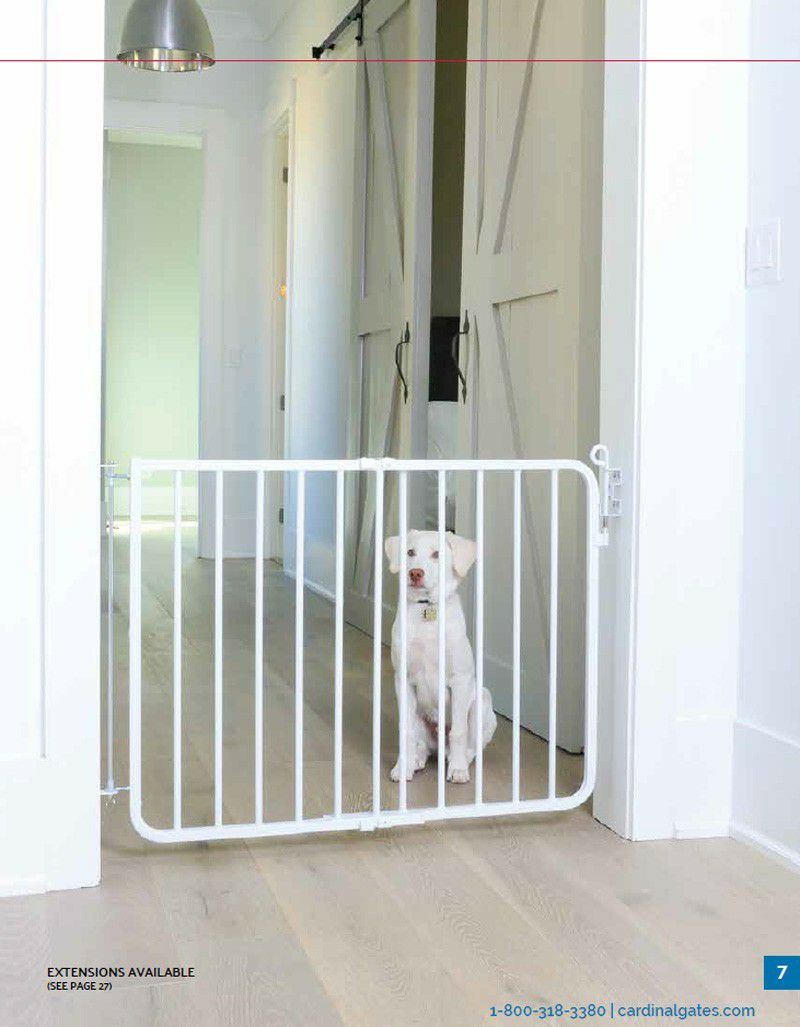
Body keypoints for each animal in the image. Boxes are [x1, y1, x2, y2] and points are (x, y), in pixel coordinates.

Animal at [384, 530, 497, 783]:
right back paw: (414, 761)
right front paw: (402, 767)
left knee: (470, 747)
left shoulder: (460, 680)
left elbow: (459, 732)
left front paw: (457, 769)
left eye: (437, 554)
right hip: (418, 715)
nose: (415, 573)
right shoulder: (403, 680)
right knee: (422, 746)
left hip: (481, 702)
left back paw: (459, 761)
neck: (426, 609)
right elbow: (405, 732)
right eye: (410, 552)